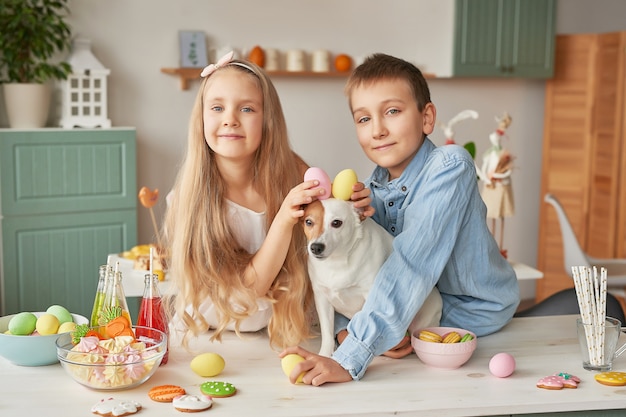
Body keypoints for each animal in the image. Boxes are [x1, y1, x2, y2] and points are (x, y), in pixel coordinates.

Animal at [302, 200, 438, 356]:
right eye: (308, 222)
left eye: (336, 223)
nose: (316, 247)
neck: (337, 261)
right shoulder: (322, 298)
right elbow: (327, 332)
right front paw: (325, 354)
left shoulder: (370, 293)